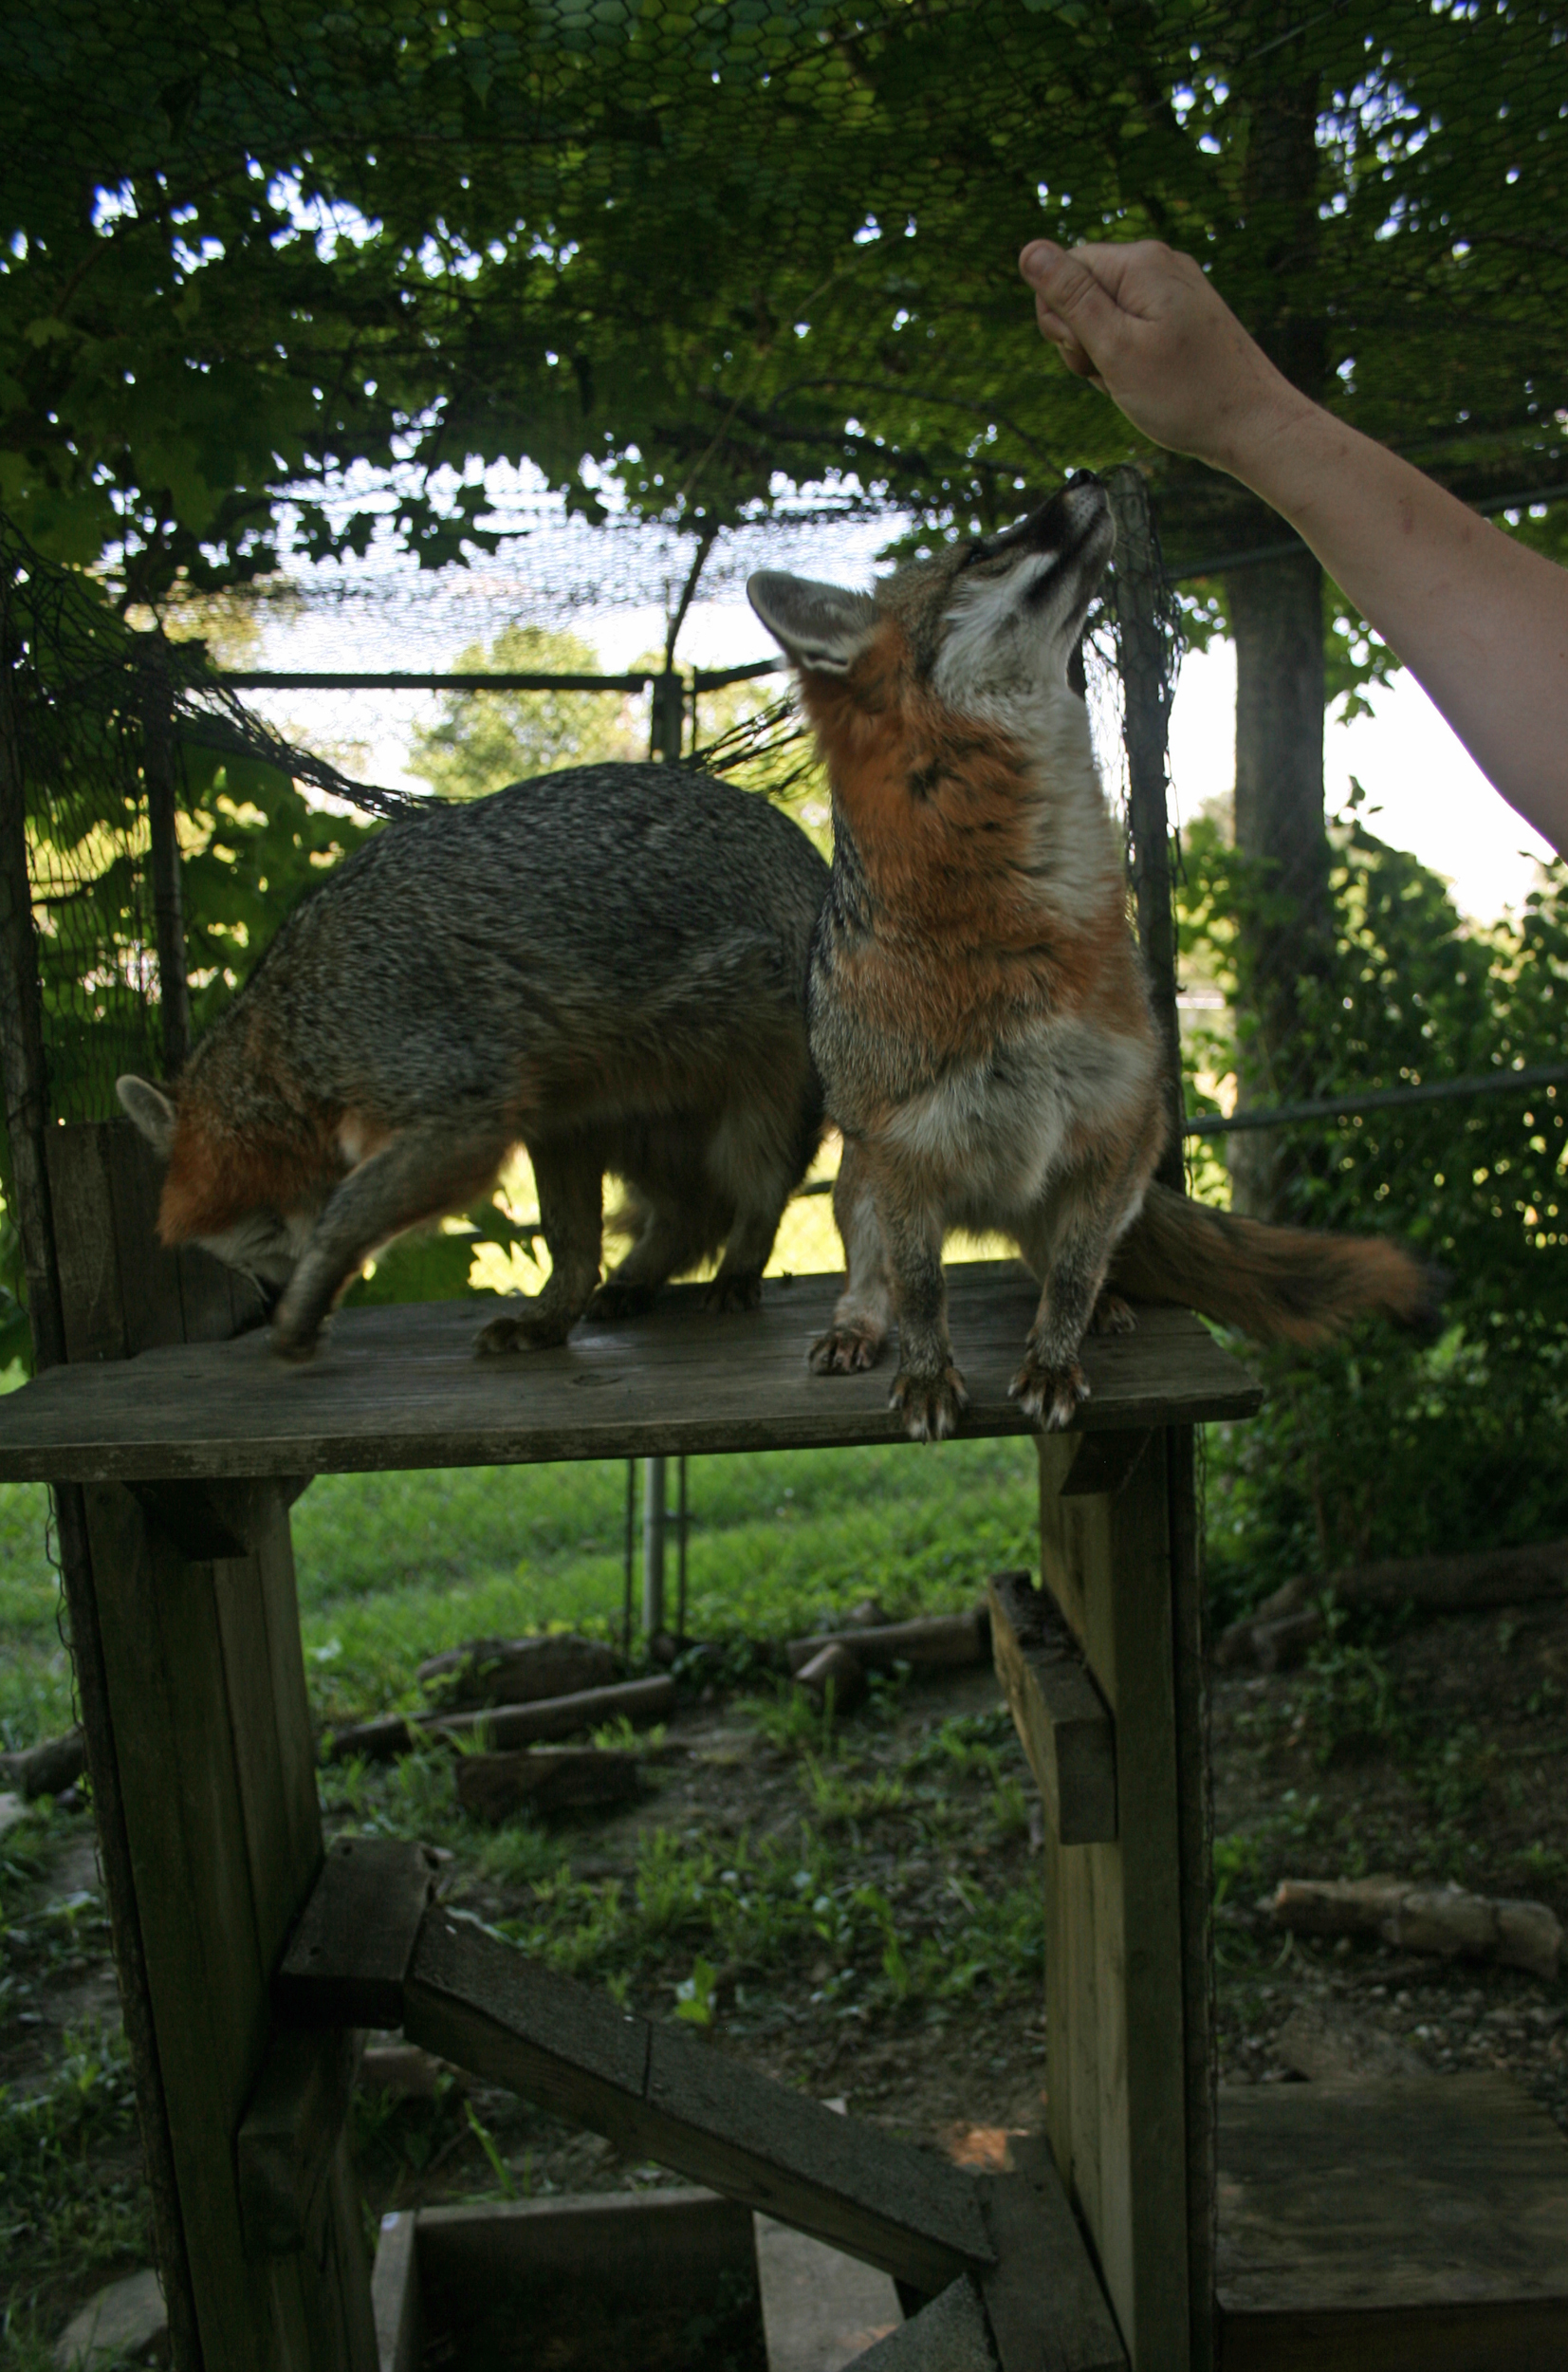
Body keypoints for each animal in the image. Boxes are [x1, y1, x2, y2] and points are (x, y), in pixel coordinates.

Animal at [116, 763, 829, 1360]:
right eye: (239, 1265)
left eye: (260, 1247)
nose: (268, 1304)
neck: (302, 1026)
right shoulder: (554, 1121)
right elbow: (569, 1244)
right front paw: (547, 1318)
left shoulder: (461, 1118)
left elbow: (345, 1216)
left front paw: (299, 1315)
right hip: (628, 1131)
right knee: (688, 1215)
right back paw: (623, 1285)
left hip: (757, 1122)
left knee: (759, 1198)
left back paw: (738, 1271)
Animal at [747, 476, 1435, 1442]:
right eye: (981, 551)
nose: (1083, 478)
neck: (1018, 929)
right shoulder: (904, 1152)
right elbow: (921, 1291)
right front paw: (926, 1375)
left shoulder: (1118, 1125)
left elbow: (1072, 1276)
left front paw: (1054, 1362)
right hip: (861, 1186)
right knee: (871, 1278)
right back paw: (856, 1326)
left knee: (1061, 1265)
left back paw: (1101, 1308)